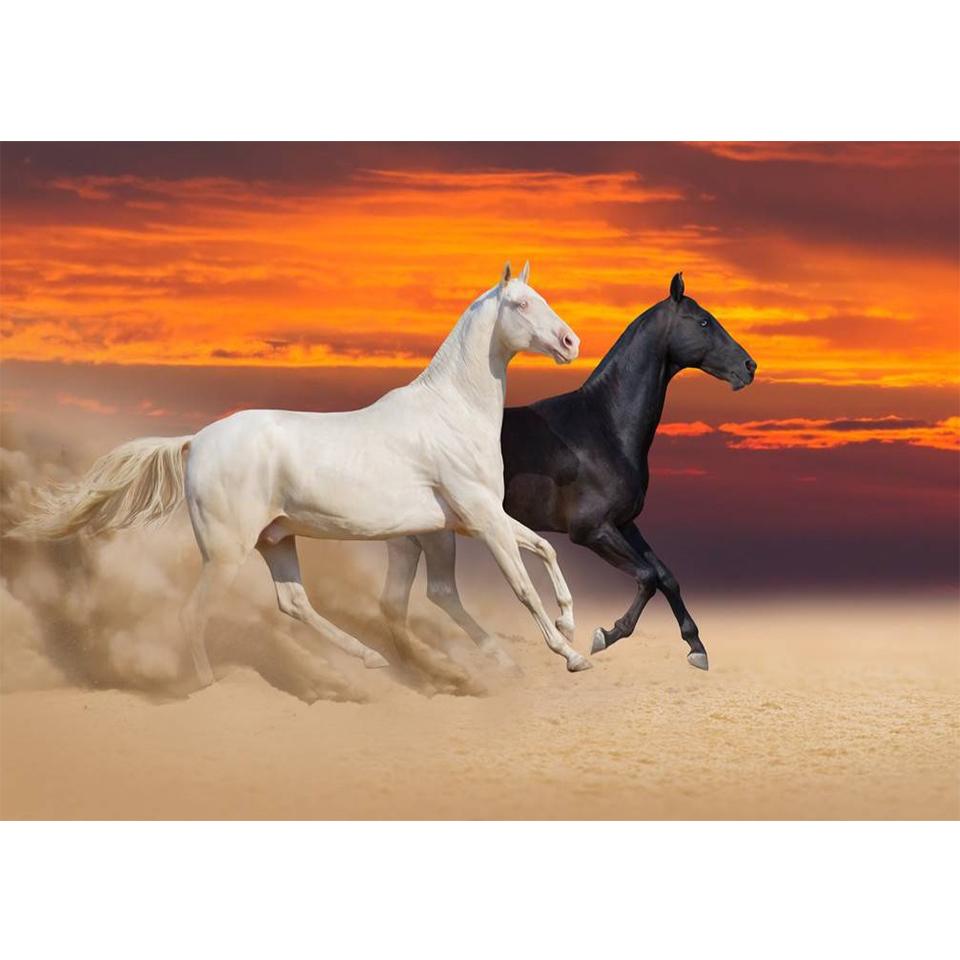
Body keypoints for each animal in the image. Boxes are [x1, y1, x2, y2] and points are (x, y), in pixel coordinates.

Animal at [9, 262, 595, 684]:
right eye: (521, 304)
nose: (571, 343)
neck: (450, 413)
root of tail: (195, 441)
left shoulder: (468, 521)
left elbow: (544, 550)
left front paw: (568, 625)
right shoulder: (479, 518)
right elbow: (522, 585)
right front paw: (569, 654)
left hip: (276, 539)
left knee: (293, 602)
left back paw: (371, 660)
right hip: (226, 552)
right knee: (192, 615)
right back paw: (204, 687)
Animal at [381, 273, 756, 672]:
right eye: (704, 322)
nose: (749, 366)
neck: (603, 427)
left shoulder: (624, 523)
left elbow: (667, 577)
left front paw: (695, 646)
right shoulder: (591, 530)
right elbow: (648, 576)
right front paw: (605, 635)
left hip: (411, 537)